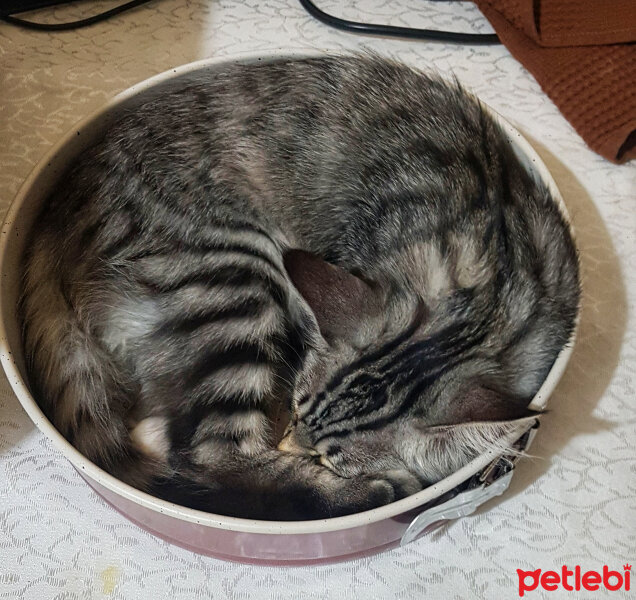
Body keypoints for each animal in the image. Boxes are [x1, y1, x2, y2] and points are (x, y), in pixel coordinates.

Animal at [19, 56, 580, 520]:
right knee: (211, 457)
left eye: (332, 458)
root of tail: (53, 220)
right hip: (235, 277)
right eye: (293, 409)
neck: (487, 290)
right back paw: (366, 493)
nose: (288, 441)